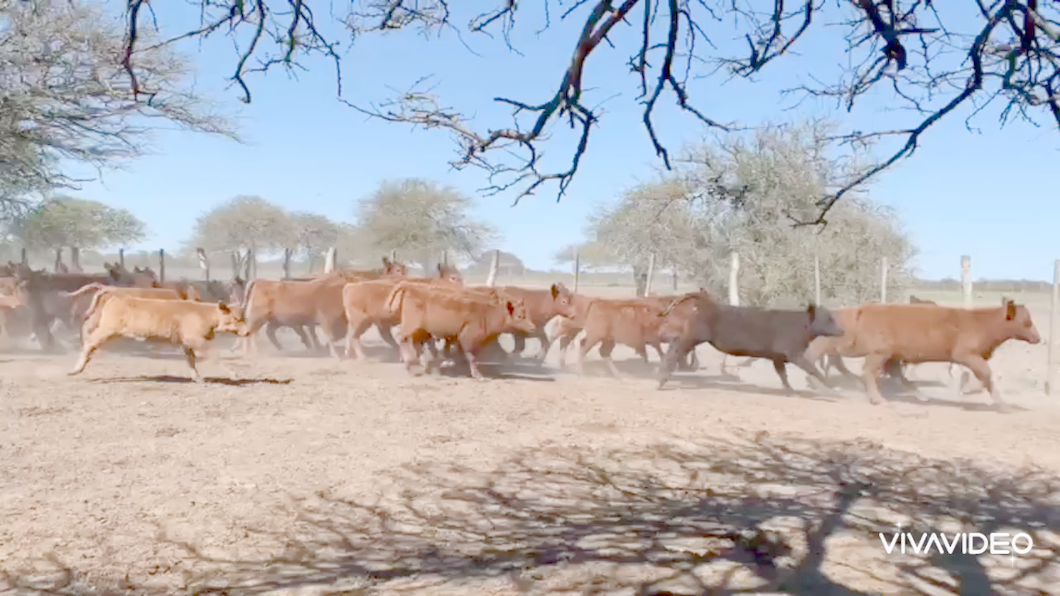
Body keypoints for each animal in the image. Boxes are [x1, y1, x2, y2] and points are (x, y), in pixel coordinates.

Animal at [71, 292, 251, 379]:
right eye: (236, 318)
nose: (248, 331)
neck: (205, 314)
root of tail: (114, 297)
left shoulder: (185, 342)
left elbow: (190, 359)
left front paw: (197, 377)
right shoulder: (196, 339)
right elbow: (214, 356)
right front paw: (233, 374)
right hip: (106, 330)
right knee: (89, 343)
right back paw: (77, 369)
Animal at [383, 282, 538, 375]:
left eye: (527, 313)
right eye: (520, 316)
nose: (532, 327)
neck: (488, 311)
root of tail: (409, 286)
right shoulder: (467, 337)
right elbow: (471, 356)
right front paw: (477, 375)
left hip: (419, 330)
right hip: (411, 326)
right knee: (402, 338)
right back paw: (410, 365)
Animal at [652, 292, 843, 394]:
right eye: (827, 318)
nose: (842, 331)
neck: (800, 324)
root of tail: (704, 302)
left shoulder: (778, 357)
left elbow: (783, 374)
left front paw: (789, 390)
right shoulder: (794, 354)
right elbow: (813, 369)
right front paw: (831, 388)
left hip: (687, 338)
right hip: (690, 338)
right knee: (673, 353)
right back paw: (660, 381)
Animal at [814, 299, 1038, 405]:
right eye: (1026, 322)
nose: (1038, 338)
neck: (981, 322)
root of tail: (863, 309)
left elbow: (984, 376)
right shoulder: (967, 356)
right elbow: (986, 374)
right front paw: (1001, 403)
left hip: (887, 354)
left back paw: (919, 395)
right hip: (877, 352)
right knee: (865, 371)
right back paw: (877, 399)